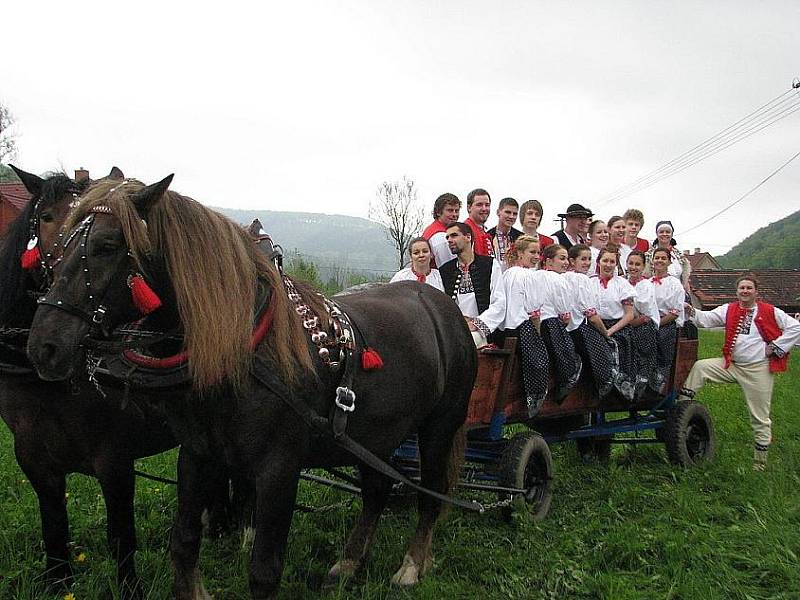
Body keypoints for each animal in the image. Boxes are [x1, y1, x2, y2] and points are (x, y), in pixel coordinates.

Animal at [0, 168, 228, 600]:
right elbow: (54, 530)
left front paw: (130, 589)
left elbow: (121, 537)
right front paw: (58, 584)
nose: (47, 346)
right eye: (48, 218)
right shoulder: (35, 460)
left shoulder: (115, 461)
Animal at [26, 177, 476, 600]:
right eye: (60, 241)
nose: (44, 345)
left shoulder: (279, 470)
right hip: (375, 435)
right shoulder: (198, 453)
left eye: (106, 245)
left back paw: (412, 565)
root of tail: (441, 306)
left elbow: (263, 570)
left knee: (431, 494)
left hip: (438, 429)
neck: (245, 350)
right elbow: (183, 544)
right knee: (377, 490)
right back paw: (348, 563)